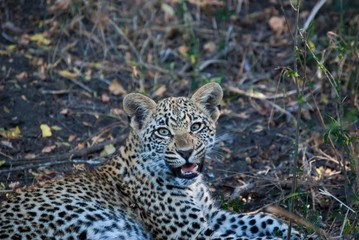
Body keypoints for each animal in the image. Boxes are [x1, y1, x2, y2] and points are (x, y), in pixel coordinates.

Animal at [0, 83, 304, 240]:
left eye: (195, 127)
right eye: (163, 132)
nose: (185, 152)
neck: (191, 186)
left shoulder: (213, 217)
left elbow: (261, 219)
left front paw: (296, 232)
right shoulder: (197, 235)